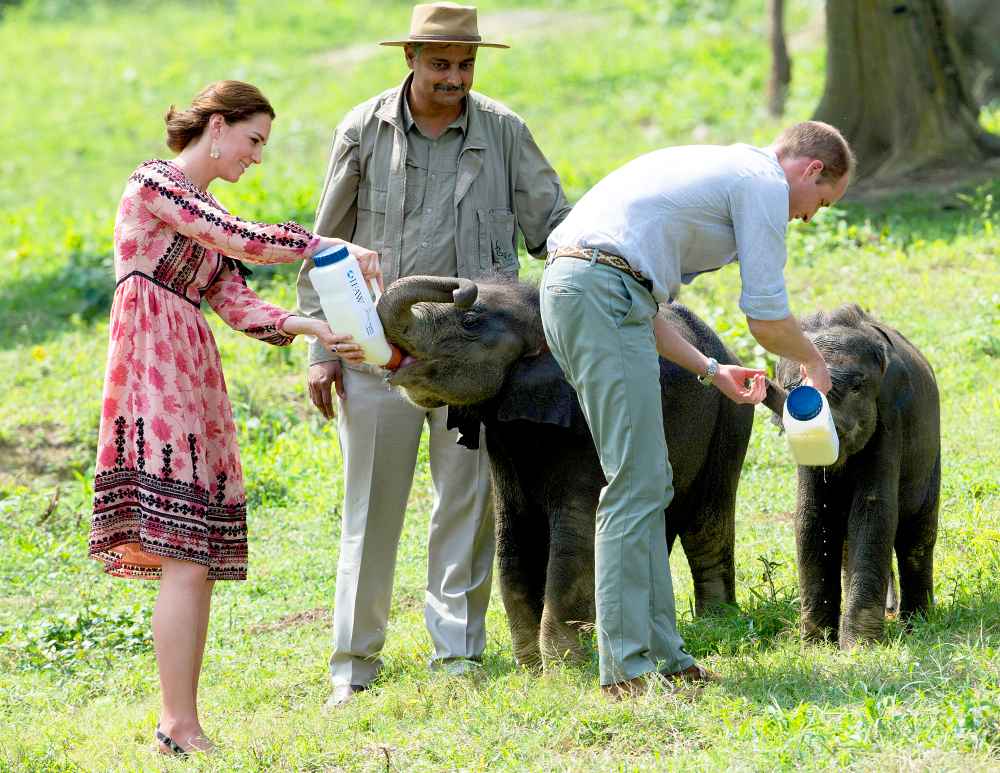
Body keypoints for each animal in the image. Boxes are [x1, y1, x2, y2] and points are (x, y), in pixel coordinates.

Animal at [378, 274, 752, 668]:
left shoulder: (588, 431)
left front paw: (564, 667)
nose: (463, 286)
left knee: (705, 525)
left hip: (729, 422)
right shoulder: (504, 442)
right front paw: (532, 669)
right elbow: (513, 539)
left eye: (470, 322)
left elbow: (575, 538)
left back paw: (716, 624)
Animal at [772, 304, 936, 648]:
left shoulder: (889, 413)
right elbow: (812, 517)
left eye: (858, 386)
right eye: (792, 390)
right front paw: (816, 645)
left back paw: (917, 622)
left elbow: (873, 511)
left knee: (917, 535)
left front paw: (858, 648)